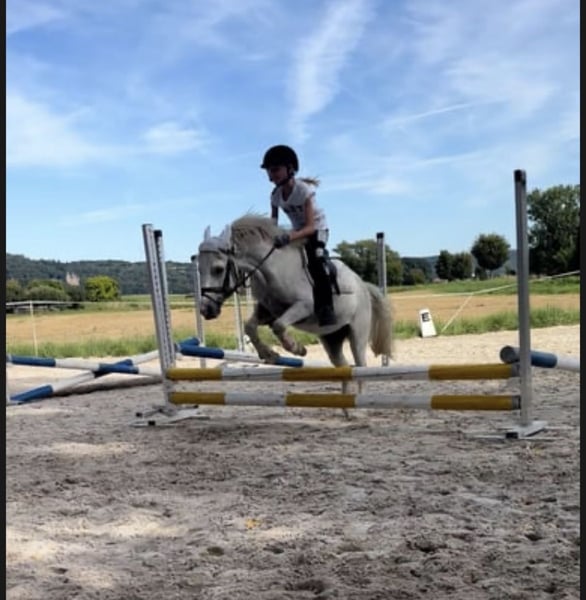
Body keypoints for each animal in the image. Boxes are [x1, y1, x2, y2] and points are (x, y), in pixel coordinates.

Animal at [196, 214, 394, 372]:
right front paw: (269, 355)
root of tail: (363, 286)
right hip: (332, 338)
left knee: (360, 363)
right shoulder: (267, 310)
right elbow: (250, 326)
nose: (205, 310)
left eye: (218, 269)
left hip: (357, 335)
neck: (270, 269)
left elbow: (279, 326)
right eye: (199, 269)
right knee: (343, 364)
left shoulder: (304, 306)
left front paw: (296, 348)